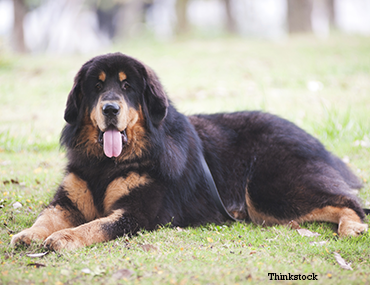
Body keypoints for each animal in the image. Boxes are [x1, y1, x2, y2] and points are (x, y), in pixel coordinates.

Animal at [10, 52, 368, 248]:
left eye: (127, 87)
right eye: (96, 86)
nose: (110, 108)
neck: (108, 164)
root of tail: (311, 138)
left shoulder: (137, 213)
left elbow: (94, 226)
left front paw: (64, 239)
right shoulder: (67, 201)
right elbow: (46, 217)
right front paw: (29, 234)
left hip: (270, 190)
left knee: (350, 202)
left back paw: (352, 228)